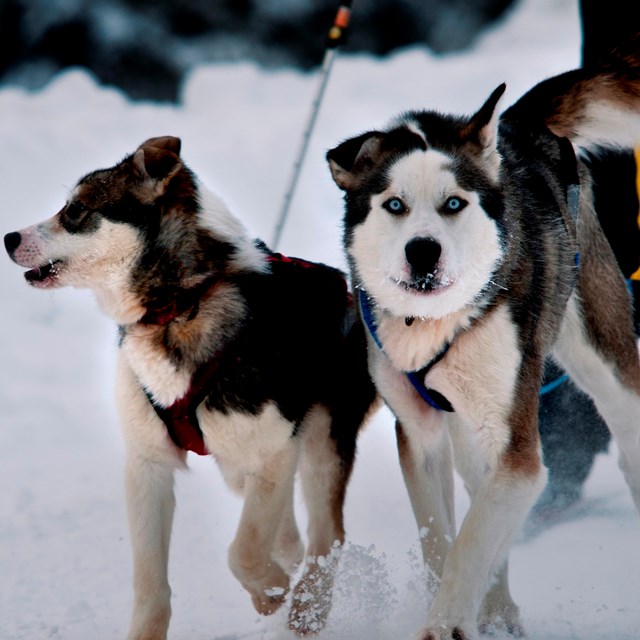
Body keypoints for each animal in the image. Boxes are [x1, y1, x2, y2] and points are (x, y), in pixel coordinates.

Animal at [2, 138, 378, 636]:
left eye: (76, 210)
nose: (9, 238)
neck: (181, 305)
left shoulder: (273, 451)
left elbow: (243, 551)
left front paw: (271, 591)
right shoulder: (148, 466)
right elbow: (150, 584)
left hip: (320, 443)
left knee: (324, 535)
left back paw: (305, 608)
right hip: (241, 464)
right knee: (290, 534)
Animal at [328, 36, 640, 640]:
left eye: (454, 203)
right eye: (395, 204)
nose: (423, 251)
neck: (435, 325)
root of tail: (519, 124)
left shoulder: (518, 455)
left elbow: (472, 543)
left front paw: (445, 622)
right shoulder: (420, 434)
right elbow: (442, 540)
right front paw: (465, 607)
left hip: (602, 360)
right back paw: (499, 611)